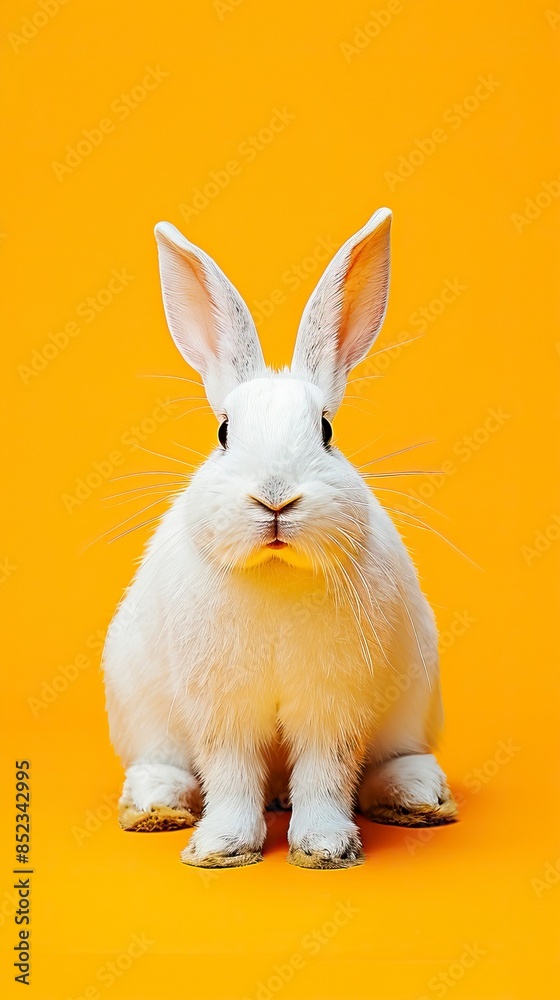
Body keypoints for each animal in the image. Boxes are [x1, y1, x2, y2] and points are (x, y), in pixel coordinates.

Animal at [103, 207, 457, 870]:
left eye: (326, 431)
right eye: (222, 432)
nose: (275, 498)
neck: (275, 570)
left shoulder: (333, 706)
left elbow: (325, 774)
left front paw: (324, 848)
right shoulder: (223, 709)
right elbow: (231, 774)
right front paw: (222, 848)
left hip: (414, 705)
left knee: (388, 761)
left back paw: (416, 798)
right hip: (139, 708)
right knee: (167, 764)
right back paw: (156, 806)